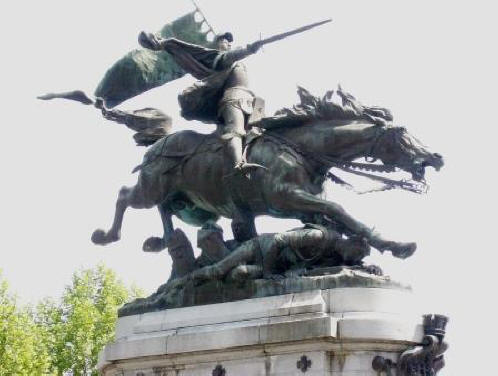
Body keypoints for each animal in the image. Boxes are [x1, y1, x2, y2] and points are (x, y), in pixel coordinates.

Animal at [92, 120, 444, 258]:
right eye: (401, 134)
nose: (435, 157)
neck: (303, 152)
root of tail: (156, 145)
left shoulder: (300, 209)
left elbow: (335, 220)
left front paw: (391, 243)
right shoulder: (287, 198)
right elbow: (338, 209)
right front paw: (392, 244)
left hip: (191, 205)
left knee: (166, 209)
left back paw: (164, 239)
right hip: (151, 188)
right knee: (125, 195)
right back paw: (107, 236)